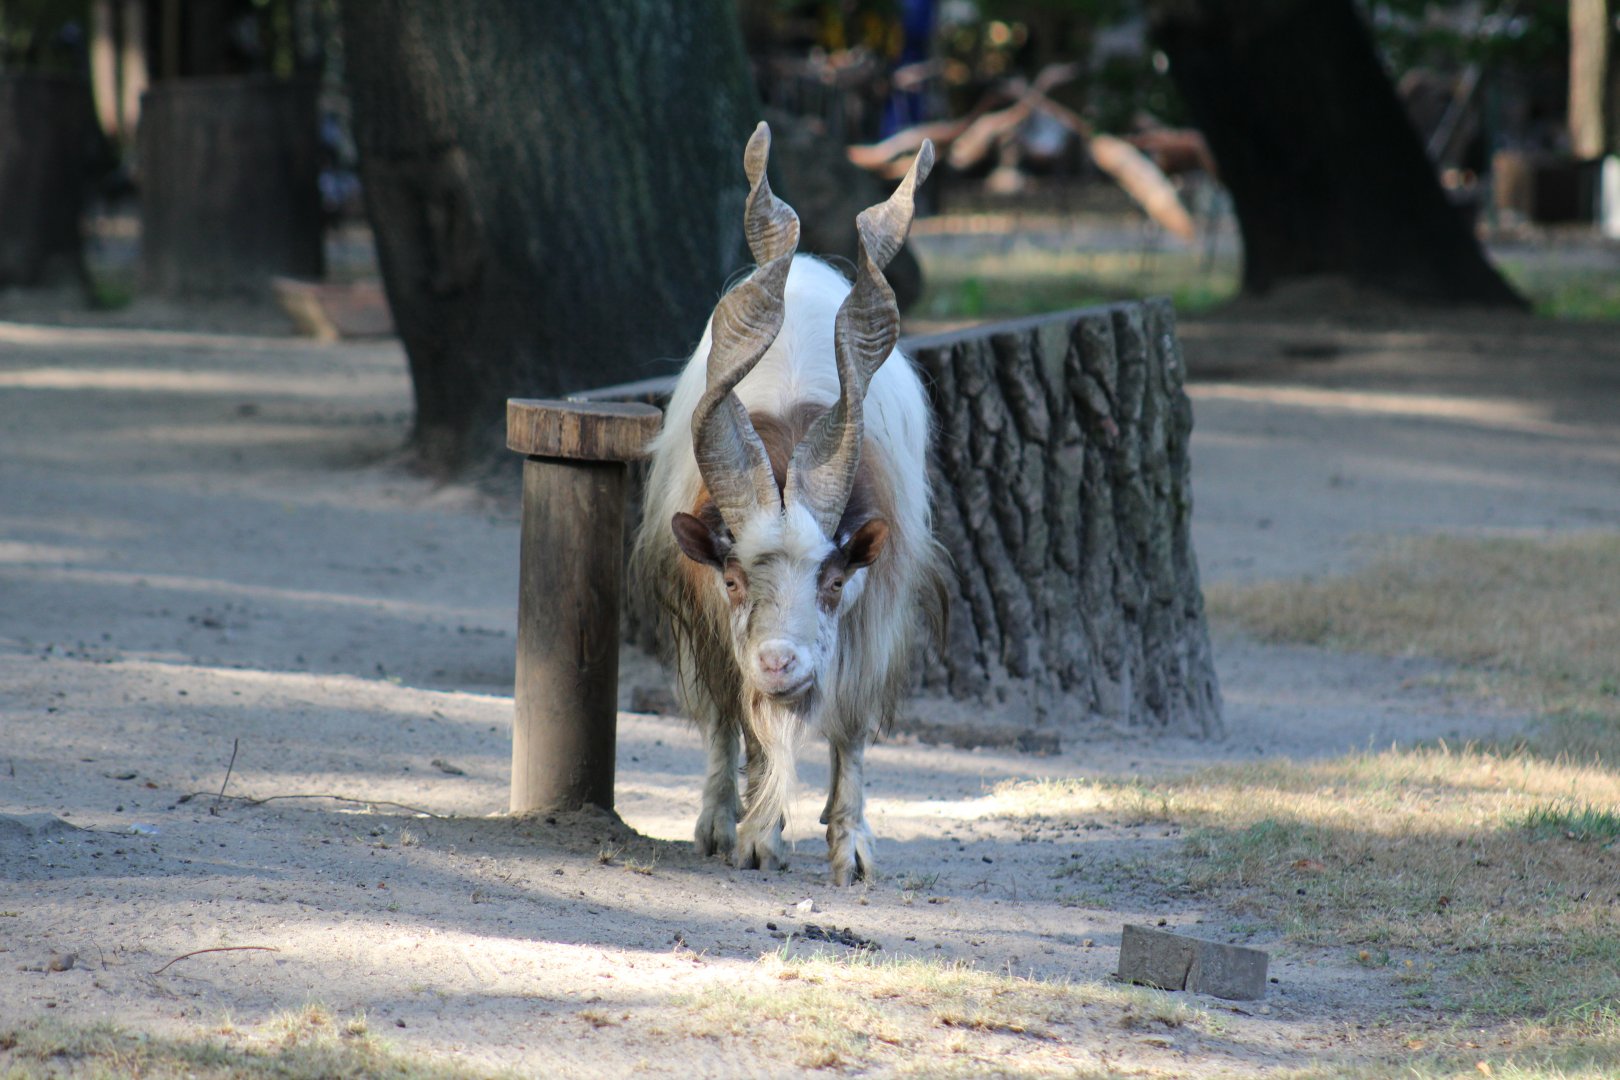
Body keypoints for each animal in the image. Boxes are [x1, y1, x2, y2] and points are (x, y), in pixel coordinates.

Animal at [632, 123, 947, 885]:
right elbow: (743, 722)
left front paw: (851, 848)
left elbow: (851, 727)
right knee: (724, 717)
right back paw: (722, 821)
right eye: (735, 578)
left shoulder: (878, 602)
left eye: (831, 581)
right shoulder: (709, 609)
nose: (779, 662)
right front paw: (754, 836)